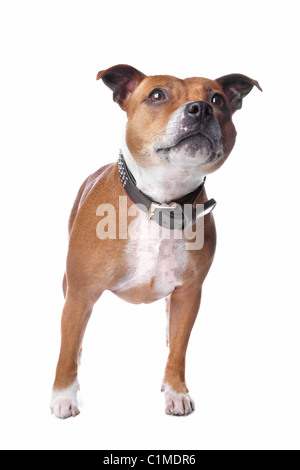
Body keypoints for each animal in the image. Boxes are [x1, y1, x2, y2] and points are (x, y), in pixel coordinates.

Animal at [50, 63, 262, 418]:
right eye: (157, 95)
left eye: (218, 99)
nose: (200, 109)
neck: (162, 204)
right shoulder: (80, 293)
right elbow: (67, 351)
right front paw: (64, 396)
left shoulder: (189, 293)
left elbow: (178, 349)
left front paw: (175, 390)